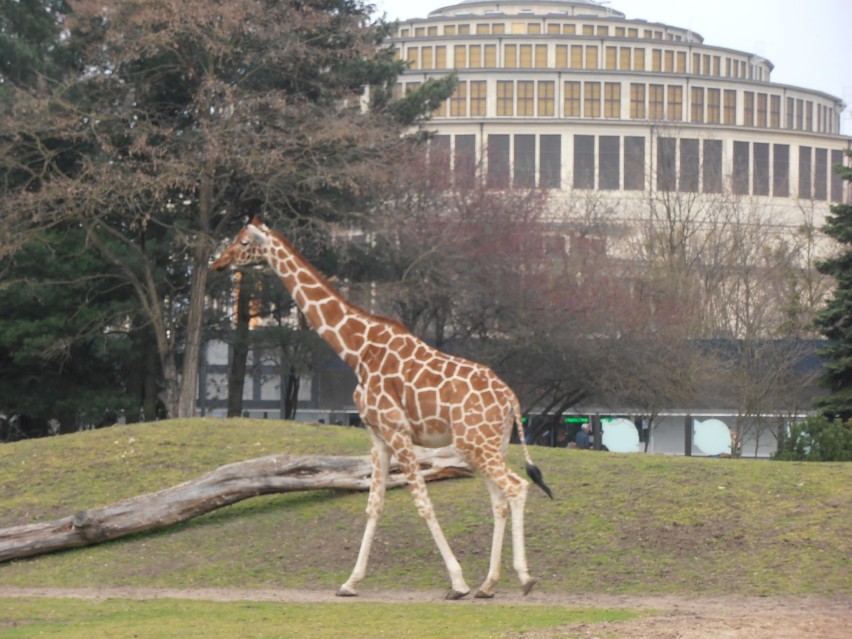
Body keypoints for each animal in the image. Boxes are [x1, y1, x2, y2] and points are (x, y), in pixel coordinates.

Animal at [210, 216, 548, 600]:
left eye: (243, 241)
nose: (218, 263)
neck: (357, 350)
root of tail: (511, 398)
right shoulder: (378, 437)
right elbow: (374, 505)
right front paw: (350, 582)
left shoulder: (398, 432)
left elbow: (423, 503)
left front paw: (457, 582)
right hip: (487, 445)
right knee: (499, 500)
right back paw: (489, 585)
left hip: (476, 443)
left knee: (517, 488)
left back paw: (523, 578)